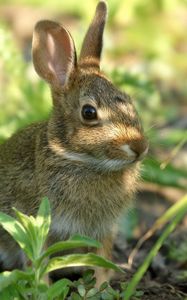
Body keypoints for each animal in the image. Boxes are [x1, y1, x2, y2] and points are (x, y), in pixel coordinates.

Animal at [0, 1, 149, 284]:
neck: (80, 160)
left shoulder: (103, 231)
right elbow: (38, 263)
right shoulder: (38, 225)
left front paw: (101, 287)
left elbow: (101, 262)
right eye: (89, 113)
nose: (139, 147)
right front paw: (43, 287)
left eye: (128, 100)